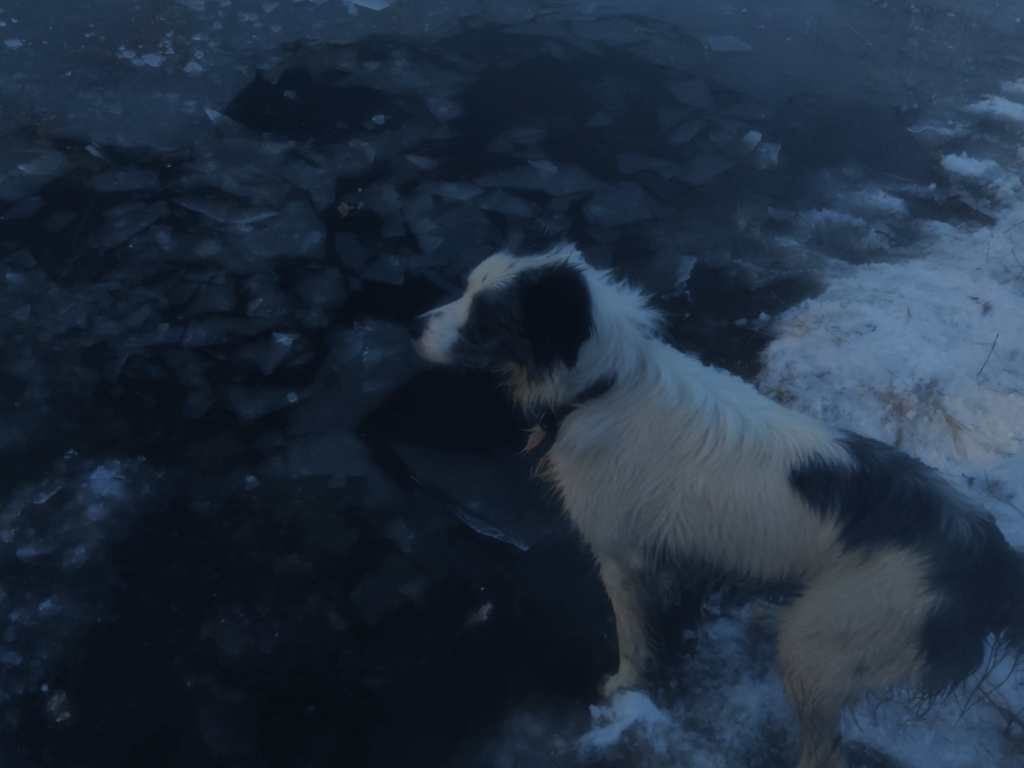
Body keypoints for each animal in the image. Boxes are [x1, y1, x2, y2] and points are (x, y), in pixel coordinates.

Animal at [409, 246, 1024, 768]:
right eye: (468, 288)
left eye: (483, 315)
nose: (415, 325)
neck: (605, 387)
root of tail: (986, 556)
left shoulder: (618, 555)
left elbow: (632, 637)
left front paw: (624, 684)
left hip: (818, 649)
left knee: (825, 750)